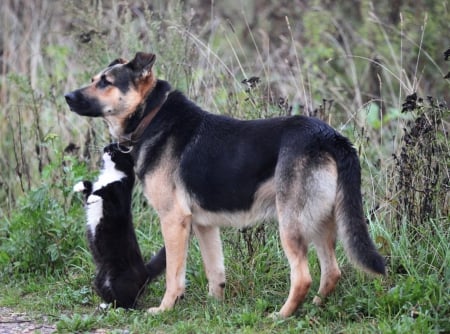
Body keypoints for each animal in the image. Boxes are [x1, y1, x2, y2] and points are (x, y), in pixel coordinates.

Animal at [74, 144, 167, 308]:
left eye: (114, 149)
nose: (105, 148)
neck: (110, 175)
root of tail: (145, 271)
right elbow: (90, 187)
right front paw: (80, 186)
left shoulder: (119, 198)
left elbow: (105, 193)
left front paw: (95, 195)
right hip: (99, 279)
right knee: (111, 296)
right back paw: (106, 306)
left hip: (119, 280)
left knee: (131, 302)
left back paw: (124, 308)